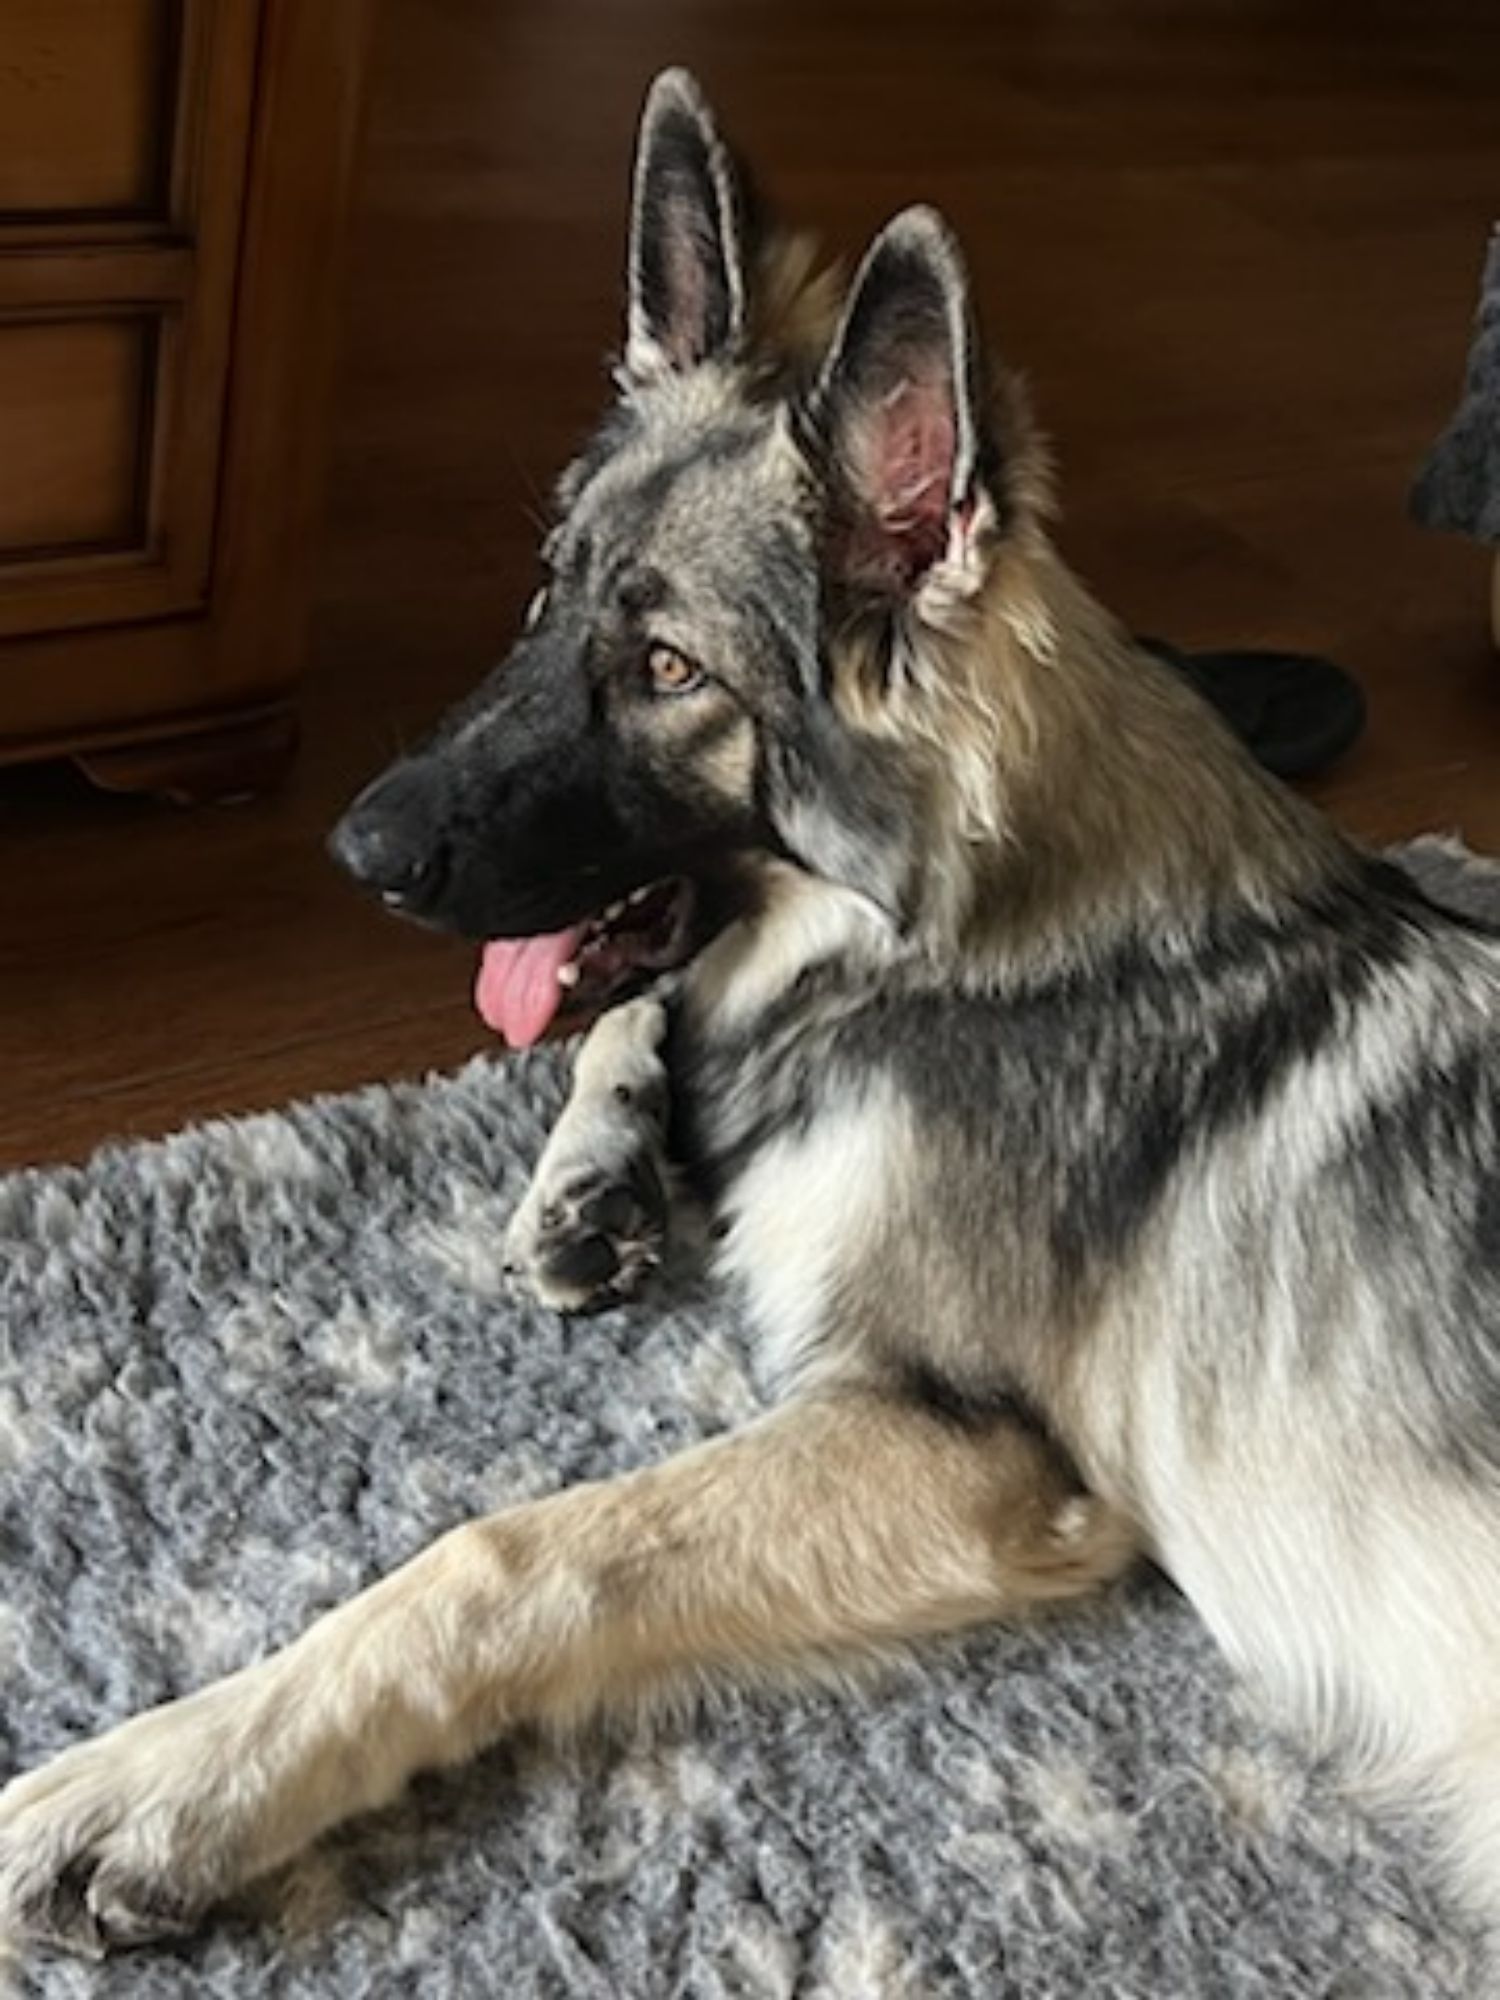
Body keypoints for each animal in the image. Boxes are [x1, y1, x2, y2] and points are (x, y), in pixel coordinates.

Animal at [3, 66, 1499, 1959]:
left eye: (668, 674)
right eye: (546, 593)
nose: (353, 852)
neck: (954, 941)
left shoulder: (952, 1448)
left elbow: (510, 1549)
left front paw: (171, 1778)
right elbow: (638, 1010)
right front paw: (600, 1165)